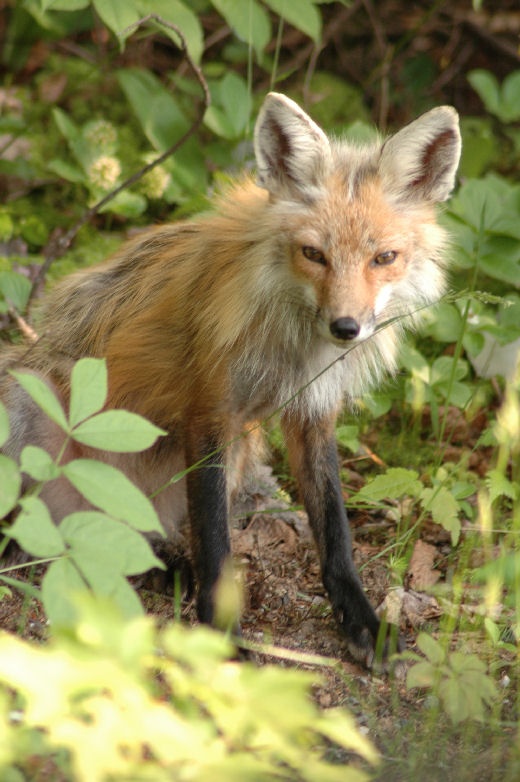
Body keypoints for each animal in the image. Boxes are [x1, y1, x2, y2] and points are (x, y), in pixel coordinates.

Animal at [1, 92, 464, 668]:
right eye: (314, 254)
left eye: (384, 258)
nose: (346, 327)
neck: (294, 348)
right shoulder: (210, 411)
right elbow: (216, 541)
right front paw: (221, 634)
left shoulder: (311, 414)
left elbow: (335, 532)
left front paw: (361, 620)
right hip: (23, 403)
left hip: (231, 455)